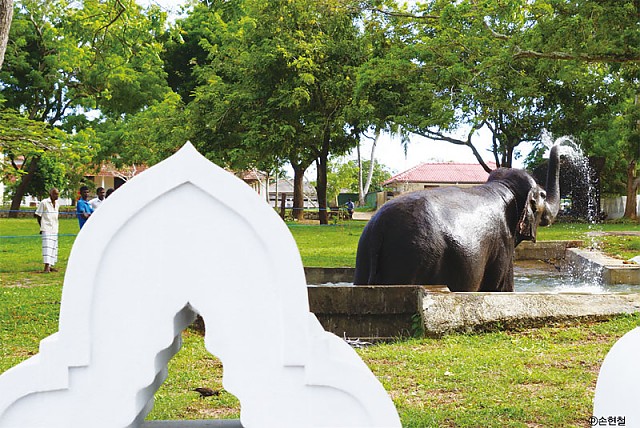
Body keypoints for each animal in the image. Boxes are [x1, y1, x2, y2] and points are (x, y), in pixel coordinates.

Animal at [356, 145, 560, 292]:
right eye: (542, 195)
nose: (558, 144)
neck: (503, 186)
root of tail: (378, 229)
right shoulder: (503, 243)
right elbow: (500, 288)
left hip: (365, 256)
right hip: (412, 258)